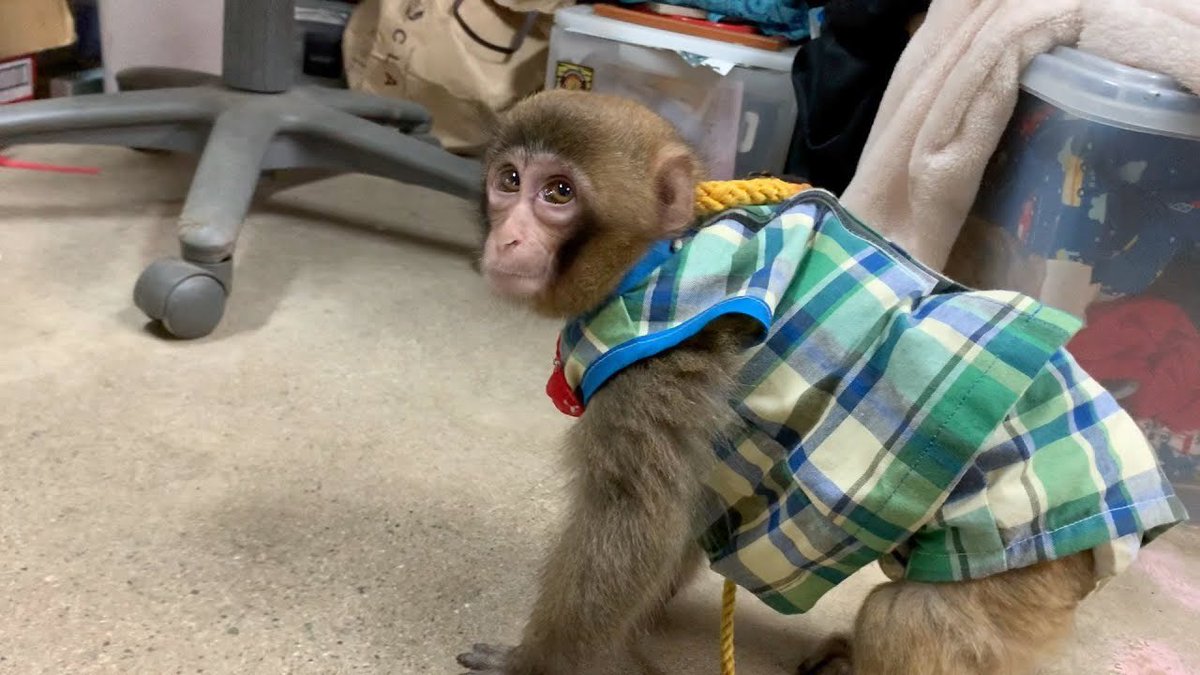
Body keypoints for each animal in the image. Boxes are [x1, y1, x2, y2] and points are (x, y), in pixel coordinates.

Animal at [457, 89, 1188, 675]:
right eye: (509, 179)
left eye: (558, 193)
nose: (509, 239)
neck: (655, 258)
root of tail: (1145, 514)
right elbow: (683, 512)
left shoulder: (665, 360)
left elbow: (637, 519)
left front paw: (535, 664)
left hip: (1029, 566)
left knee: (906, 618)